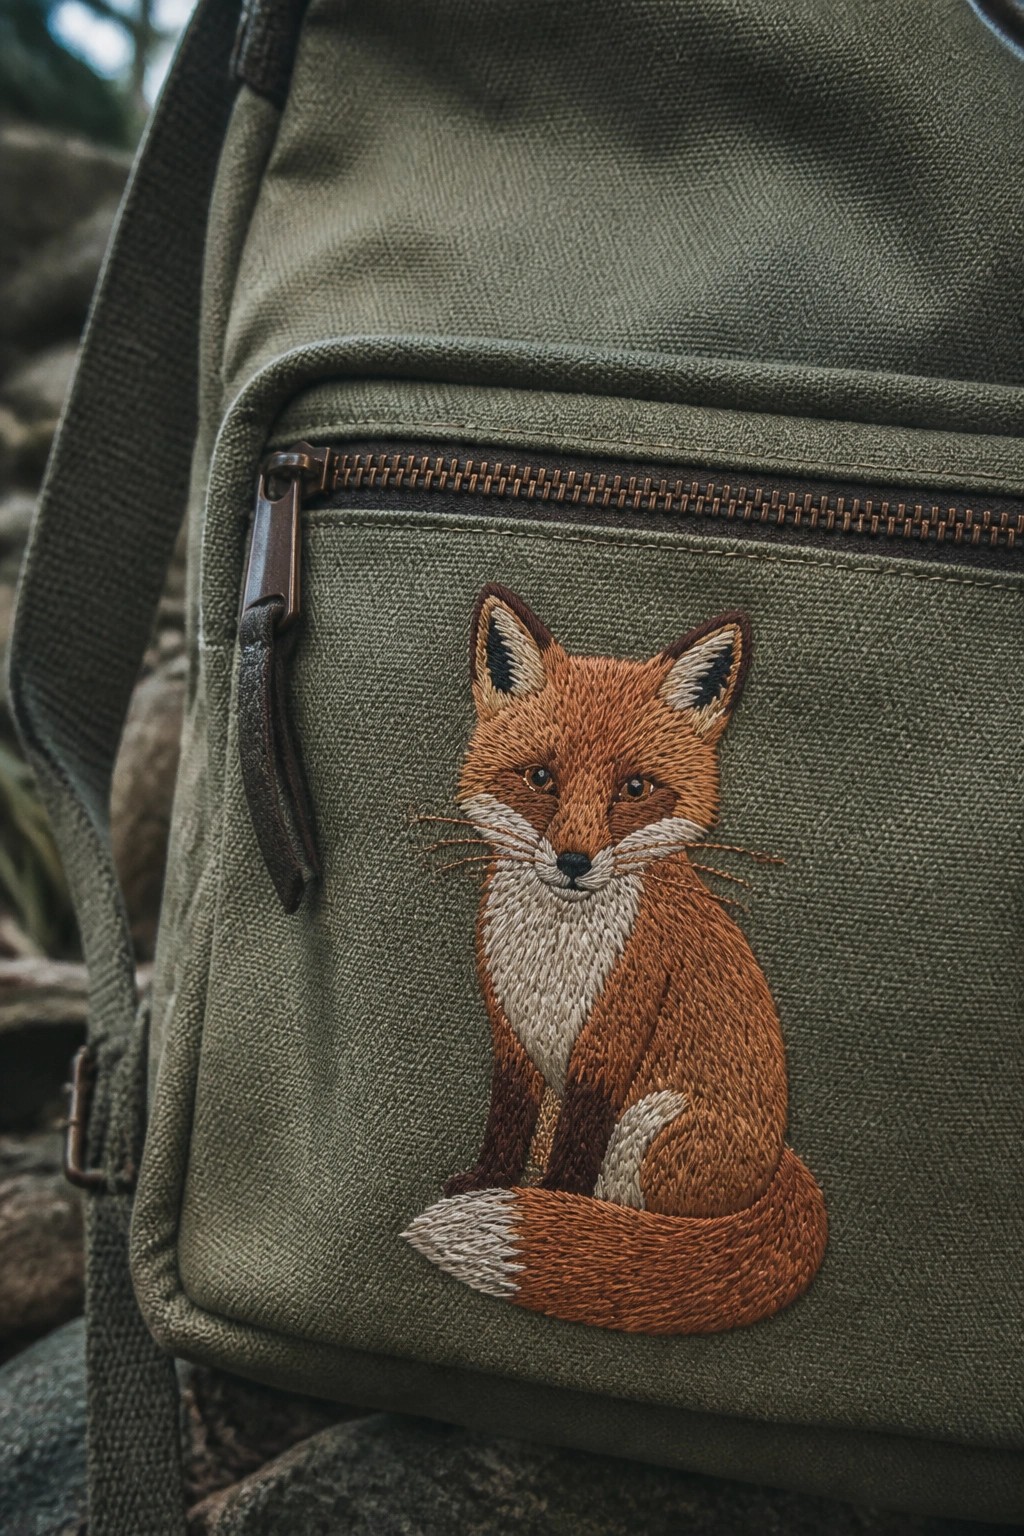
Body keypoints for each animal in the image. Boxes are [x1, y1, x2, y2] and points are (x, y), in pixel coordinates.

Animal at [404, 583, 827, 1335]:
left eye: (634, 788)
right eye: (541, 777)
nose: (575, 862)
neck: (554, 955)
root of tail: (781, 1162)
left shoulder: (616, 1031)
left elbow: (580, 1144)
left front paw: (559, 1213)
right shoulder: (510, 1033)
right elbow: (505, 1120)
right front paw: (485, 1185)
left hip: (656, 1120)